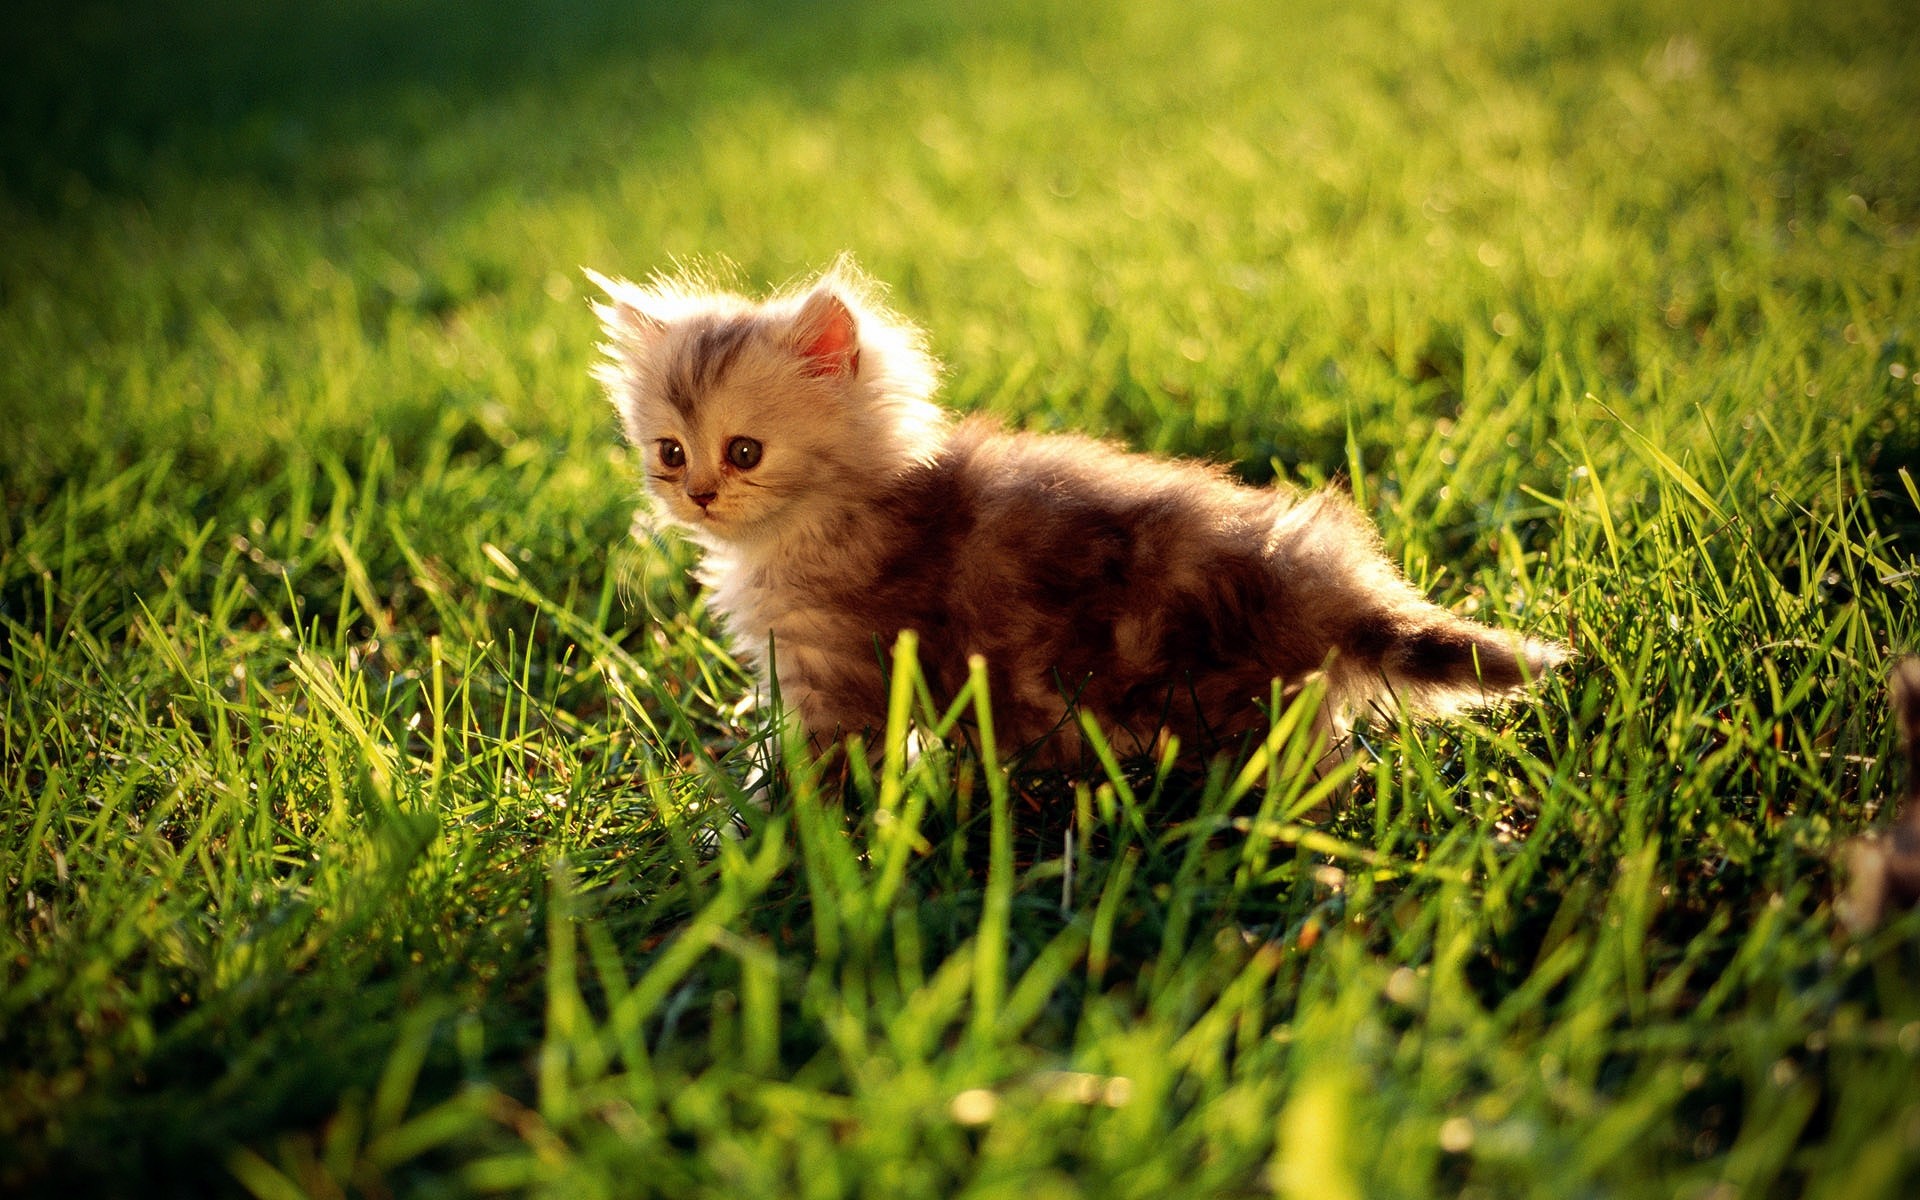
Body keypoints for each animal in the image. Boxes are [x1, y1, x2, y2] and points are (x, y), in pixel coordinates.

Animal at [591, 261, 1566, 768]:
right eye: (670, 452)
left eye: (744, 452)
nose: (698, 493)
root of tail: (1317, 579)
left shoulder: (840, 677)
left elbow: (812, 775)